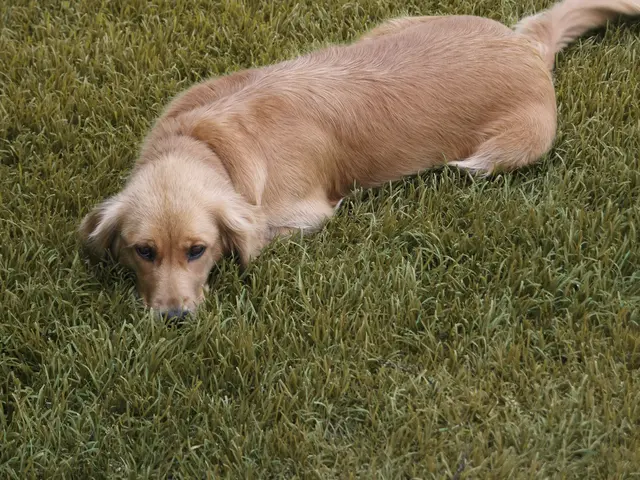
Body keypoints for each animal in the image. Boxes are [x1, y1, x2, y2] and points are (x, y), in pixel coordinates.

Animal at [79, 0, 640, 318]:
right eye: (143, 251)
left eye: (197, 250)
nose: (173, 318)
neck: (205, 140)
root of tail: (527, 47)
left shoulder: (304, 214)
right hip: (390, 26)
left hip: (511, 147)